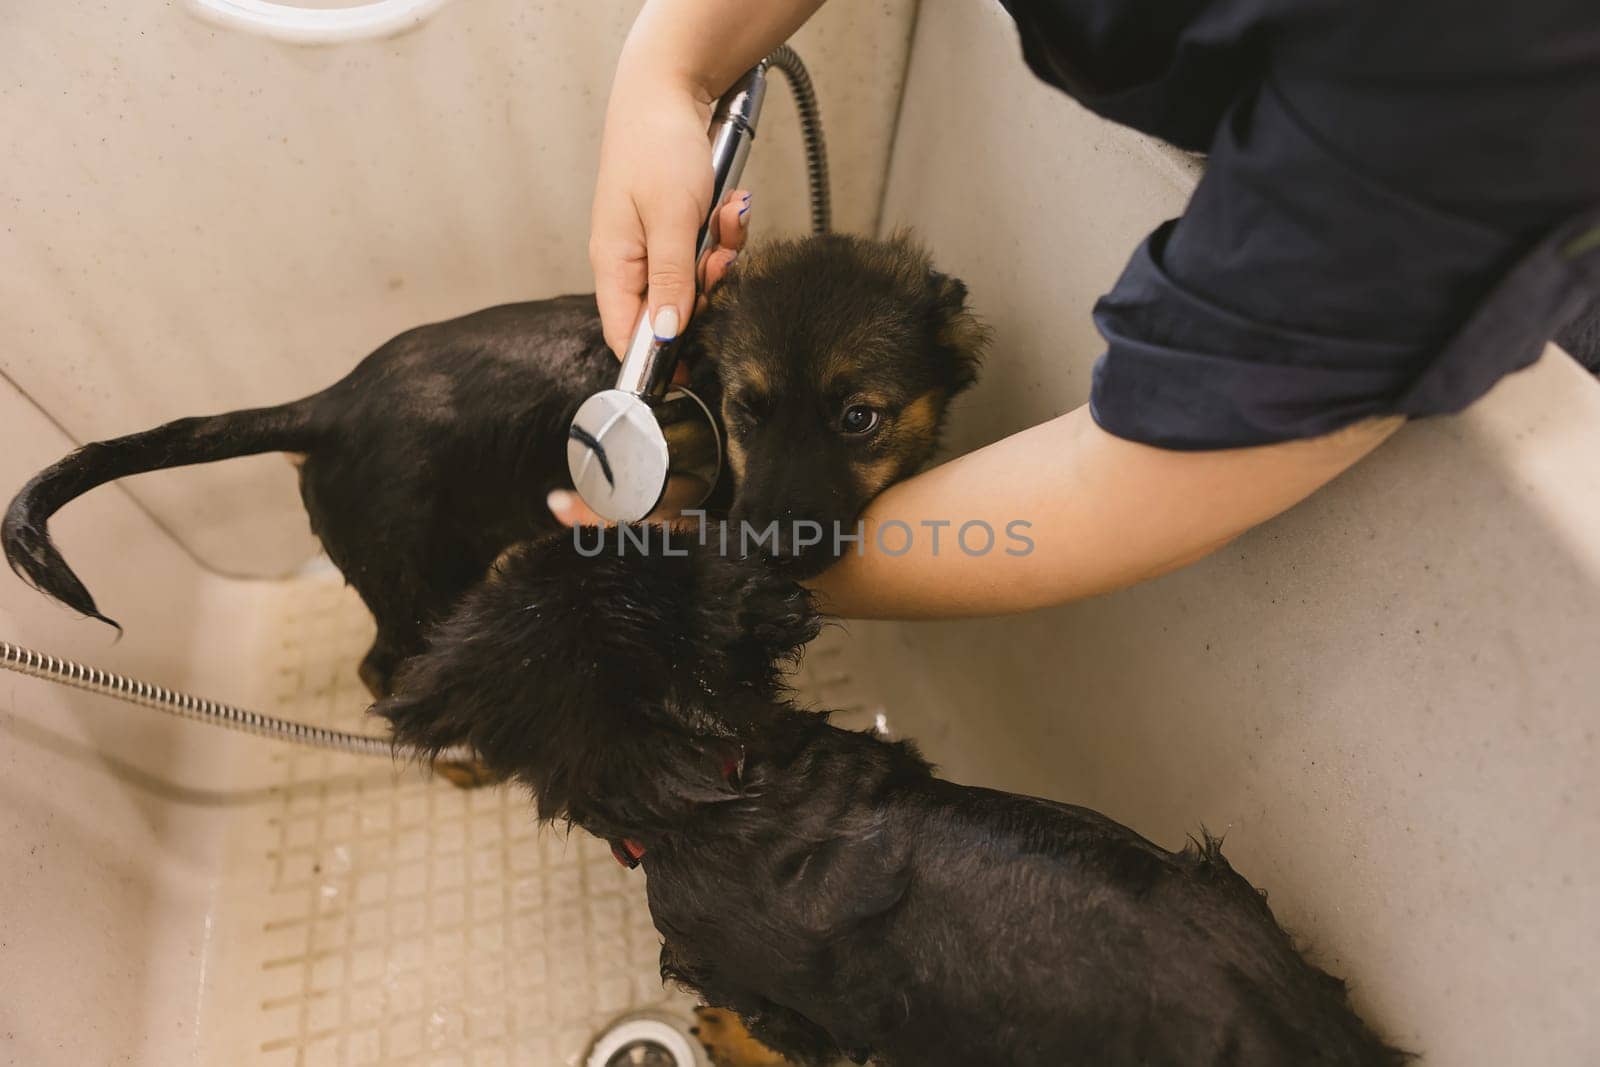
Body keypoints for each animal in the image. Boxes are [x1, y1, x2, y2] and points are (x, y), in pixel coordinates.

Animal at [6, 235, 979, 697]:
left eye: (859, 418)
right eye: (746, 407)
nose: (771, 547)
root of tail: (329, 405)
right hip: (414, 581)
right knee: (380, 669)